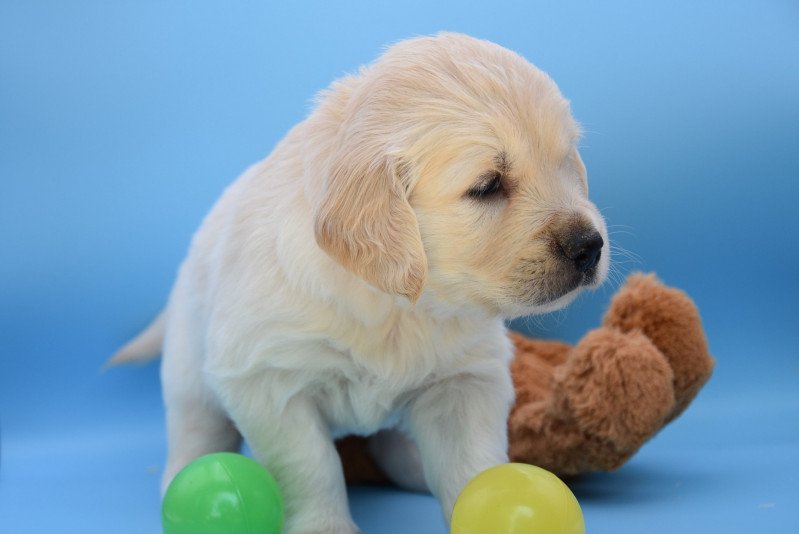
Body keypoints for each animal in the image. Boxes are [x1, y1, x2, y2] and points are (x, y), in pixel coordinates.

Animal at [112, 31, 608, 532]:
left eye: (566, 163)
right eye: (488, 185)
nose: (590, 246)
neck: (398, 304)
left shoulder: (465, 379)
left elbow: (473, 461)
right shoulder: (269, 380)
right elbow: (310, 466)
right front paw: (324, 525)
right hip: (188, 371)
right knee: (195, 427)